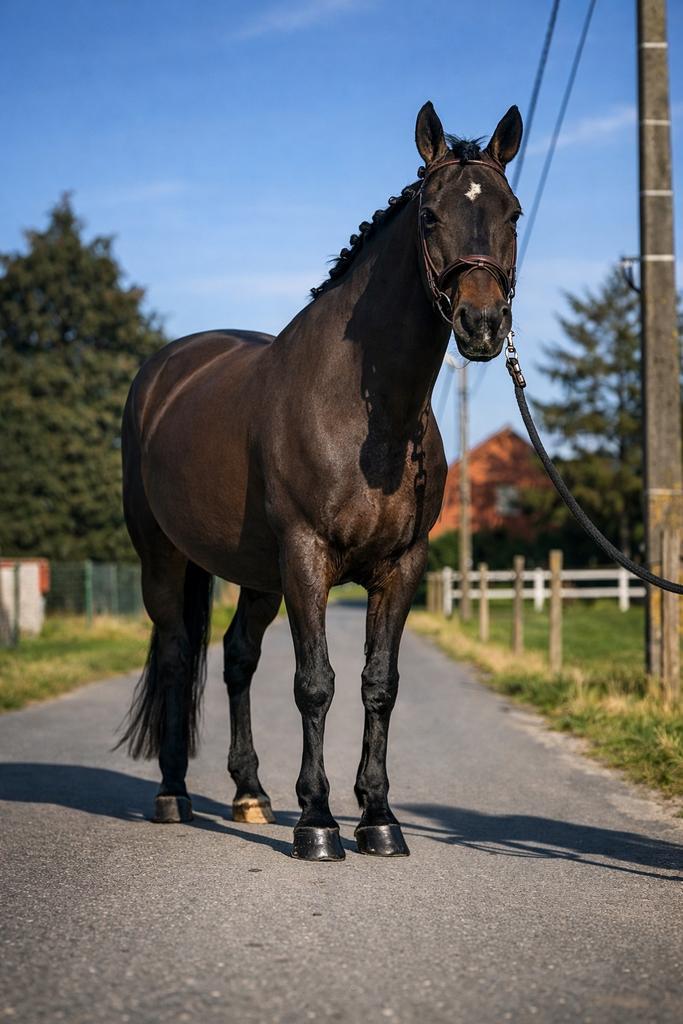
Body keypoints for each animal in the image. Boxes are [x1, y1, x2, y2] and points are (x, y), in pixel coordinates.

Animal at [119, 101, 523, 860]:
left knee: (237, 657)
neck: (369, 418)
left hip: (256, 573)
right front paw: (317, 822)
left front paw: (379, 818)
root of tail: (164, 372)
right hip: (163, 557)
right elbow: (315, 683)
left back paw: (249, 794)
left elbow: (377, 683)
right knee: (179, 655)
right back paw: (173, 794)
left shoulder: (402, 565)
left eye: (511, 213)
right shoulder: (305, 556)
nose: (482, 325)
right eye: (430, 216)